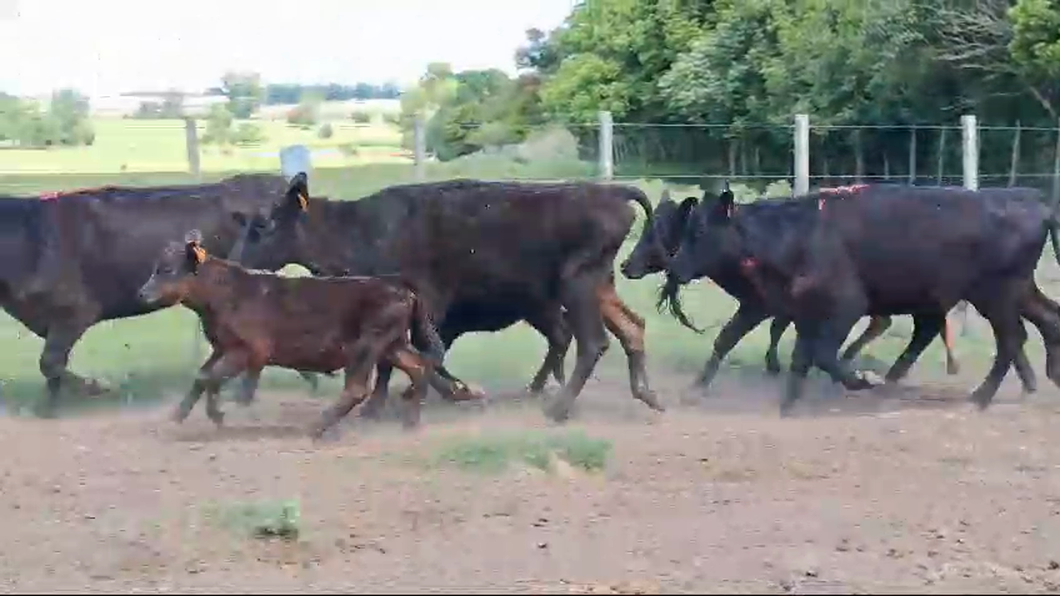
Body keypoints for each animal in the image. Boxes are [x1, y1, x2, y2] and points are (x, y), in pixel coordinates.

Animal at [137, 226, 451, 436]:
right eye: (155, 267)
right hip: (393, 345)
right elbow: (202, 376)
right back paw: (410, 422)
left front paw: (218, 414)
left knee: (357, 388)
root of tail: (398, 284)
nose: (141, 293)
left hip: (367, 346)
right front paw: (178, 414)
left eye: (167, 269)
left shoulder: (247, 351)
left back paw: (317, 426)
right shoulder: (222, 347)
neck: (227, 293)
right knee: (419, 368)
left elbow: (210, 377)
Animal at [236, 173, 657, 419]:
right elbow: (405, 358)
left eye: (264, 224)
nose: (236, 261)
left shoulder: (420, 306)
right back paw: (645, 394)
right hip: (597, 287)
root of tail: (610, 192)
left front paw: (443, 393)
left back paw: (558, 407)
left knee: (592, 341)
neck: (364, 228)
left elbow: (413, 356)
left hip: (576, 288)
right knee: (630, 328)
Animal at [619, 186, 962, 386]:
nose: (625, 265)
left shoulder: (766, 304)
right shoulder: (765, 305)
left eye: (659, 230)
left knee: (911, 325)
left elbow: (755, 333)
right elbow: (735, 337)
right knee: (910, 325)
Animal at [665, 183, 1055, 411]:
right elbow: (798, 356)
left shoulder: (845, 305)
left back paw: (980, 397)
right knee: (1048, 318)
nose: (674, 268)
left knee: (1011, 338)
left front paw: (862, 380)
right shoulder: (802, 311)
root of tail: (1036, 204)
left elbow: (823, 354)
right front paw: (788, 404)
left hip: (996, 294)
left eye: (700, 231)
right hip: (1017, 291)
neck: (800, 233)